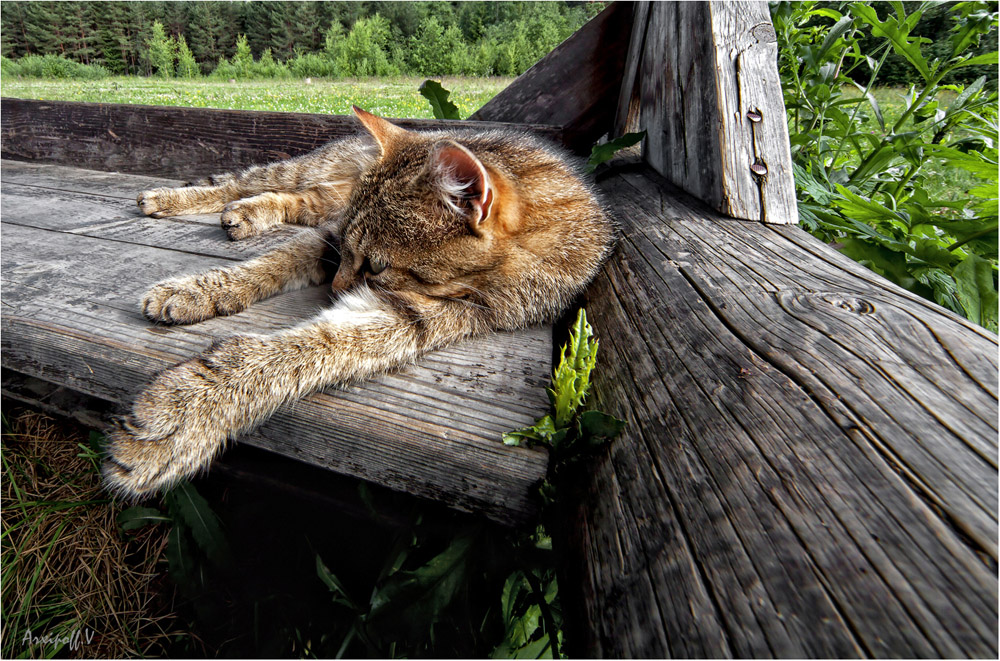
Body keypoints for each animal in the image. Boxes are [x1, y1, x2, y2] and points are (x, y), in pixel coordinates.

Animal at [103, 108, 616, 498]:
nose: (335, 288)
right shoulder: (333, 237)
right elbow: (274, 262)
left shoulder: (441, 313)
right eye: (358, 258)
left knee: (294, 200)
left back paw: (250, 215)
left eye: (376, 267)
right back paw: (171, 198)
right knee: (236, 183)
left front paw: (191, 409)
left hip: (321, 196)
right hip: (305, 172)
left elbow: (315, 348)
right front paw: (200, 288)